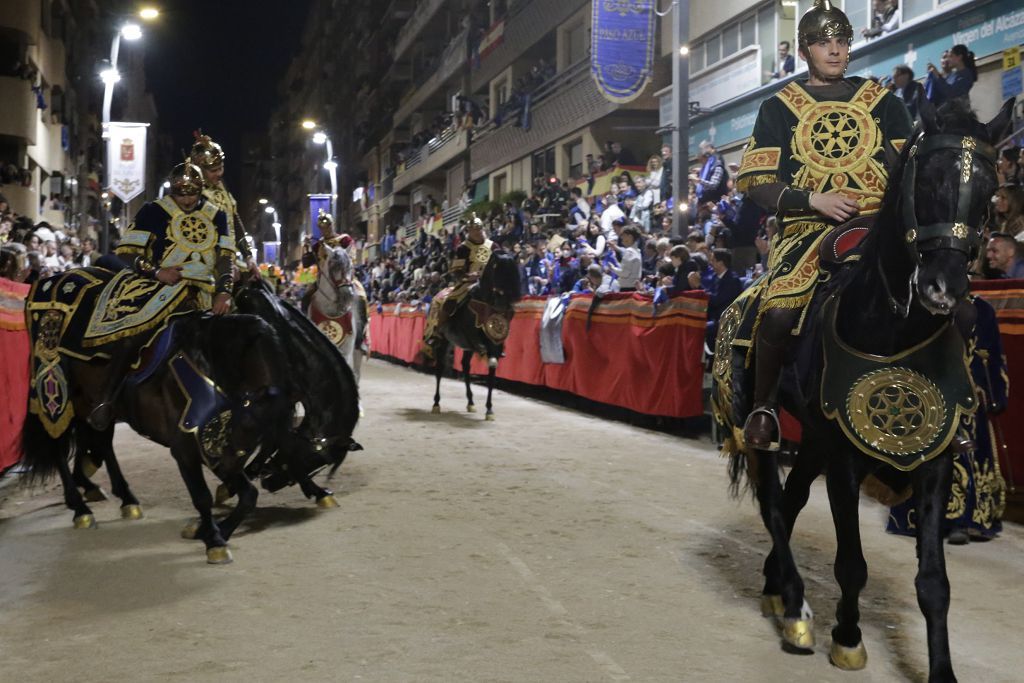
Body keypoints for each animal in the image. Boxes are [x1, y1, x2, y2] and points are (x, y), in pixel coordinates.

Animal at [425, 250, 520, 421]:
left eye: (513, 270)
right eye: (497, 268)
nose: (504, 303)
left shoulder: (495, 345)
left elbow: (492, 368)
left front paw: (489, 410)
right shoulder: (476, 338)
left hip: (466, 347)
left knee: (465, 366)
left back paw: (470, 402)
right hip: (443, 340)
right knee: (440, 368)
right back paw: (436, 404)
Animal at [716, 97, 1011, 683]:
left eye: (991, 190)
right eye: (929, 180)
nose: (945, 289)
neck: (889, 325)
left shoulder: (934, 461)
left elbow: (934, 583)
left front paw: (941, 671)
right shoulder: (847, 460)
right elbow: (851, 564)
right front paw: (848, 639)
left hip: (812, 439)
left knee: (791, 497)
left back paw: (776, 588)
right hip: (759, 423)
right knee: (773, 504)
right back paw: (796, 608)